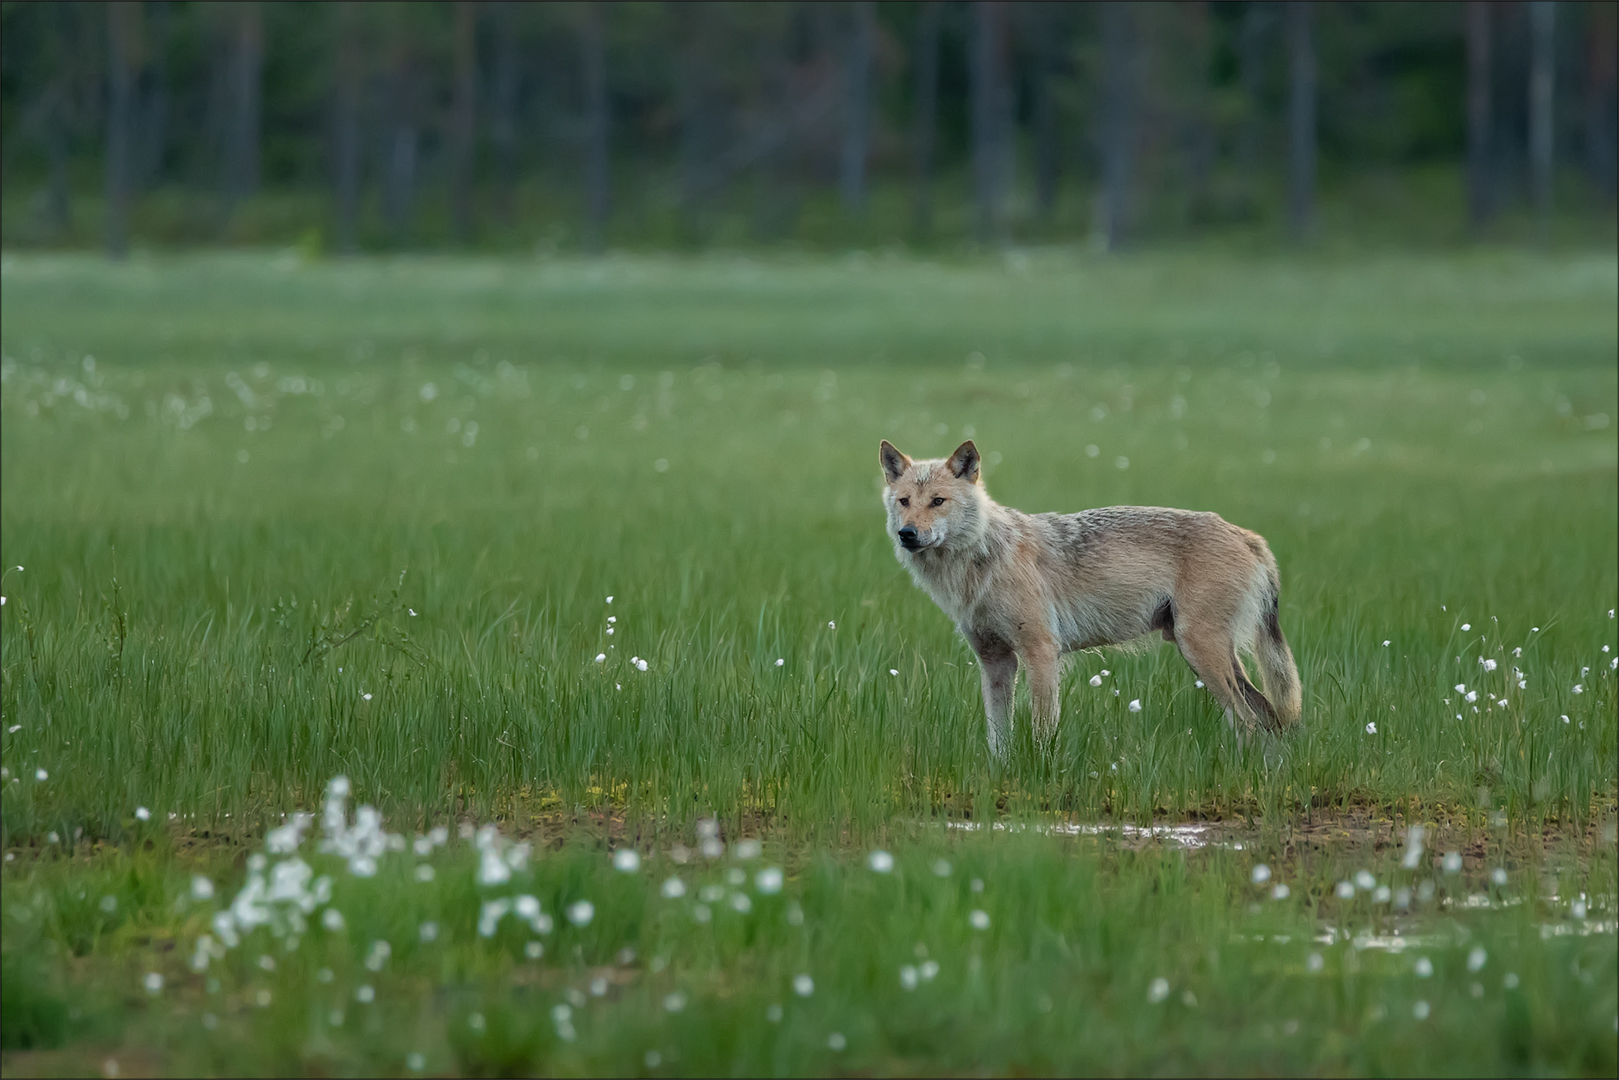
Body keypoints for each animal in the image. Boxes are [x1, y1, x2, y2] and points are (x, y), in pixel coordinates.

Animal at [880, 440, 1295, 761]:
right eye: (904, 501)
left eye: (938, 501)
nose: (907, 534)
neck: (980, 562)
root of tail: (1246, 535)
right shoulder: (996, 662)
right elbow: (998, 738)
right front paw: (1000, 777)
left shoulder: (1041, 653)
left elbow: (1042, 732)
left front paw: (1040, 776)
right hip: (1205, 655)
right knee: (1270, 718)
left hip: (1200, 653)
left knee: (1249, 720)